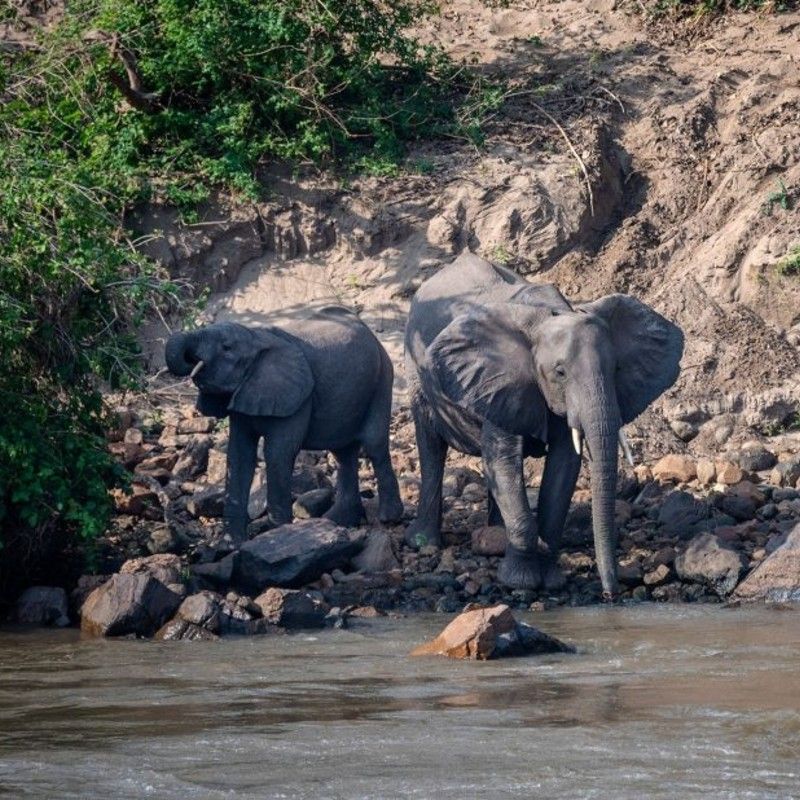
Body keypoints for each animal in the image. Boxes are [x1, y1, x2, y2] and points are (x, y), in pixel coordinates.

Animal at [165, 307, 404, 542]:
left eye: (226, 347)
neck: (257, 338)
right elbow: (239, 455)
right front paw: (231, 544)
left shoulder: (298, 398)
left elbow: (278, 453)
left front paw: (278, 534)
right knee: (343, 453)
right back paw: (337, 522)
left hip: (382, 380)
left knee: (374, 445)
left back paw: (388, 519)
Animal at [404, 252, 683, 599]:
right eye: (560, 372)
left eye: (616, 369)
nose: (610, 594)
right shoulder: (499, 378)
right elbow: (501, 460)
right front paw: (520, 583)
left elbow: (564, 466)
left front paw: (551, 581)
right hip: (415, 371)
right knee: (431, 446)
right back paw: (425, 542)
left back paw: (494, 536)